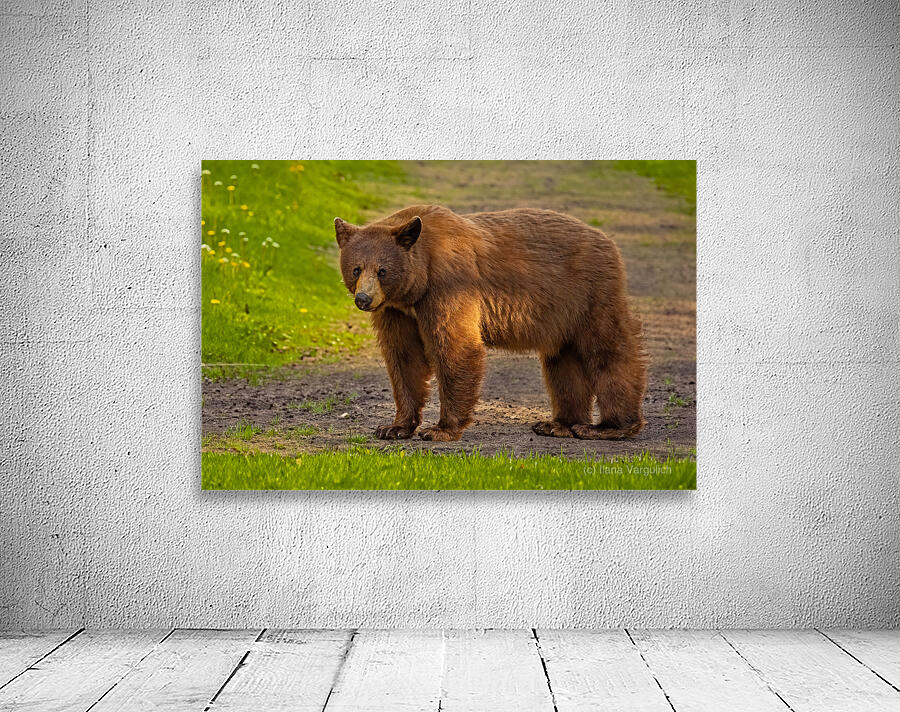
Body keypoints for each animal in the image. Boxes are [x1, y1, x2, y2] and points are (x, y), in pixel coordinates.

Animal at [334, 204, 648, 442]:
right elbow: (404, 357)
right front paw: (394, 427)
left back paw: (608, 426)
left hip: (590, 293)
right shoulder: (397, 311)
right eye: (356, 268)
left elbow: (455, 348)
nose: (364, 299)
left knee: (609, 351)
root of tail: (606, 239)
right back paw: (557, 424)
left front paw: (440, 429)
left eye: (382, 271)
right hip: (562, 316)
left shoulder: (449, 286)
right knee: (563, 361)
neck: (418, 282)